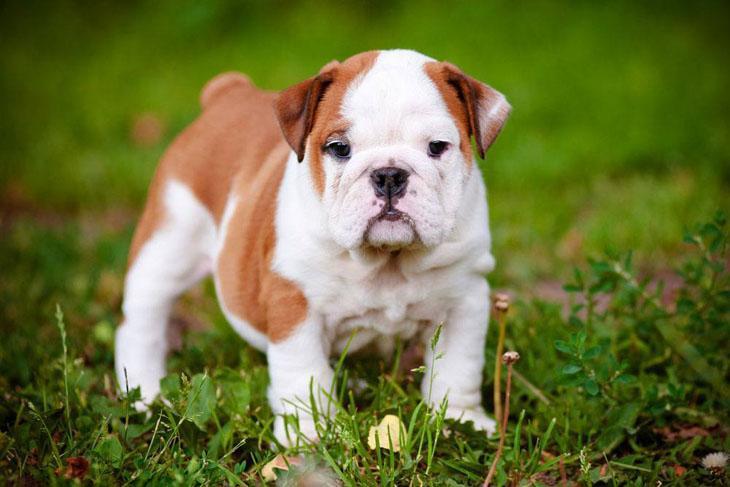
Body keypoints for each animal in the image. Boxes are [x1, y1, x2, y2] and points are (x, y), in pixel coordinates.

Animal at [116, 49, 510, 446]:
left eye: (437, 147)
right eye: (340, 148)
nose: (388, 175)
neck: (386, 260)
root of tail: (227, 93)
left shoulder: (464, 301)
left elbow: (458, 367)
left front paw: (461, 420)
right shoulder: (294, 303)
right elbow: (304, 373)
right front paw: (310, 432)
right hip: (168, 244)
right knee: (143, 321)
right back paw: (145, 393)